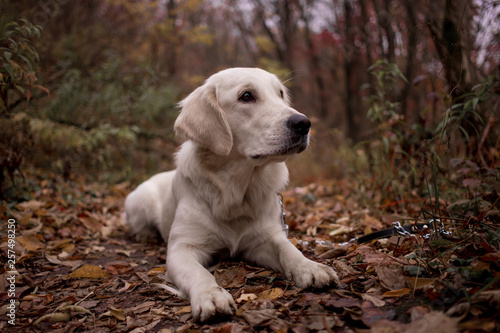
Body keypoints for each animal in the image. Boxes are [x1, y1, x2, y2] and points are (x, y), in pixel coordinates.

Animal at [124, 68, 340, 322]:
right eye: (246, 96)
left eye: (280, 94)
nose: (304, 123)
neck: (236, 191)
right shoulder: (182, 248)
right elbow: (199, 273)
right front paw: (210, 295)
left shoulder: (264, 237)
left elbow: (288, 249)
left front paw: (311, 267)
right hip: (139, 200)